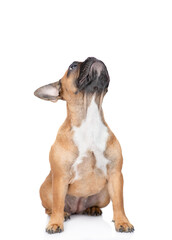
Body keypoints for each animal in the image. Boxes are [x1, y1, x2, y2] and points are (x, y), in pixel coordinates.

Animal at [34, 56, 134, 232]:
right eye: (72, 66)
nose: (94, 58)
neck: (90, 116)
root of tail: (77, 209)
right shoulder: (60, 176)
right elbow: (58, 202)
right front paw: (55, 223)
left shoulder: (115, 175)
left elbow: (119, 202)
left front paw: (122, 221)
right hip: (45, 189)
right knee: (52, 206)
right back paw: (62, 214)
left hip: (105, 194)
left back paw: (92, 208)